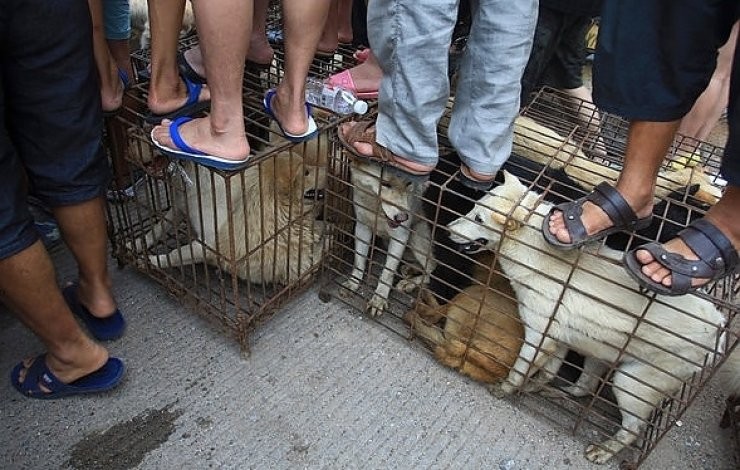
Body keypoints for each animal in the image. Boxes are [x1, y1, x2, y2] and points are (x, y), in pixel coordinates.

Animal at [340, 160, 436, 318]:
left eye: (409, 183)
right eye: (384, 183)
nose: (403, 217)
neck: (377, 210)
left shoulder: (400, 237)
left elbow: (387, 272)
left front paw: (379, 299)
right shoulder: (362, 227)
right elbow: (359, 261)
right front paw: (353, 282)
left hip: (417, 237)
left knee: (432, 269)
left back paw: (408, 283)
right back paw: (409, 269)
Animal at [448, 171, 724, 464]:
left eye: (479, 218)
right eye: (474, 207)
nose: (448, 228)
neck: (534, 252)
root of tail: (718, 329)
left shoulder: (537, 337)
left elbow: (519, 371)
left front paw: (506, 389)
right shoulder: (557, 340)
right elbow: (547, 372)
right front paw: (534, 387)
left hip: (630, 382)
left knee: (632, 429)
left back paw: (604, 450)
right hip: (599, 353)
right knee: (586, 386)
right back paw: (561, 394)